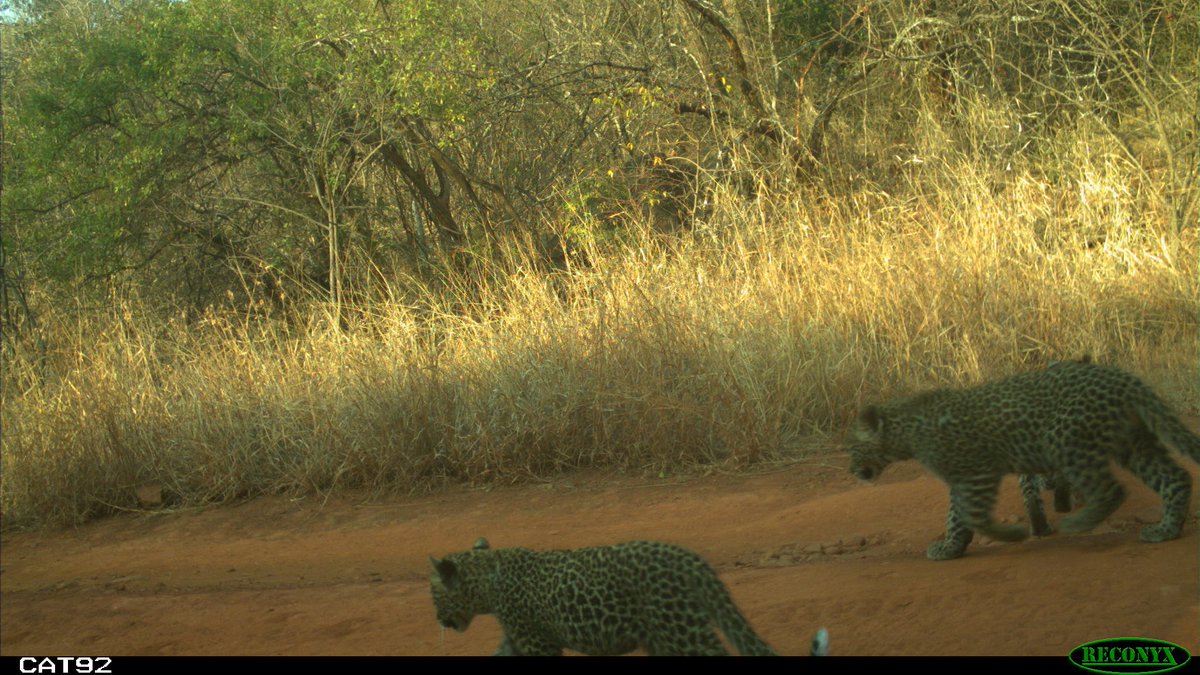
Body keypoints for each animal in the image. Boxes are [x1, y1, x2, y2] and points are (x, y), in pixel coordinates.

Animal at [429, 537, 829, 656]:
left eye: (433, 595)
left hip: (683, 631)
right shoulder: (516, 641)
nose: (437, 619)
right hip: (665, 639)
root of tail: (689, 558)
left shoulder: (537, 643)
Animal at [847, 359, 1200, 560]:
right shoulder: (962, 478)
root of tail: (1124, 378)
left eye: (851, 448)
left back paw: (1077, 523)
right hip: (1134, 443)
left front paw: (1010, 535)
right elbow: (957, 515)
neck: (906, 429)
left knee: (1112, 489)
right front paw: (952, 547)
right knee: (1175, 477)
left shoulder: (977, 474)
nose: (851, 471)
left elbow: (973, 515)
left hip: (1067, 441)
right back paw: (1166, 529)